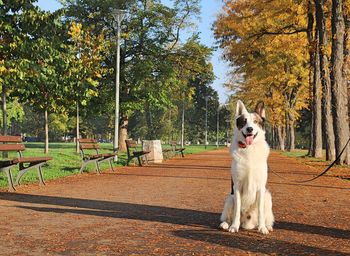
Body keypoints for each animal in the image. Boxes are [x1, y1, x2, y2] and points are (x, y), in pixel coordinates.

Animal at [219, 99, 274, 234]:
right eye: (244, 121)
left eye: (255, 121)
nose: (249, 129)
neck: (249, 149)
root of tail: (248, 223)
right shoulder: (237, 186)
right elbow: (237, 211)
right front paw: (234, 226)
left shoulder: (261, 188)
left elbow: (261, 212)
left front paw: (262, 228)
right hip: (230, 198)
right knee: (227, 216)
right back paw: (226, 224)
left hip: (267, 197)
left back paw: (267, 226)